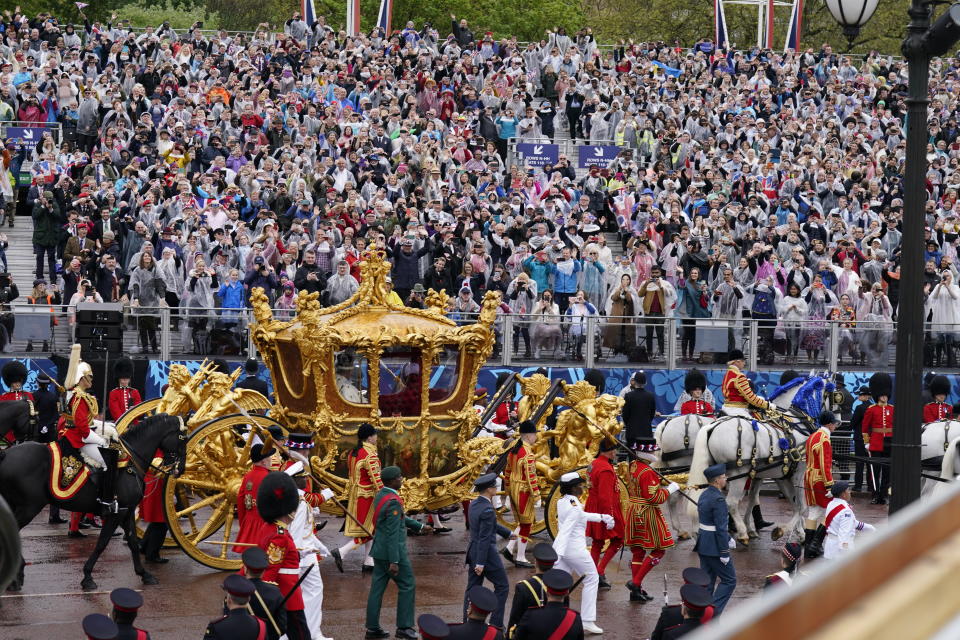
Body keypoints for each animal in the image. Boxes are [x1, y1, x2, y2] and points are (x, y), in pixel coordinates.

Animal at [0, 416, 186, 592]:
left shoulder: (127, 511)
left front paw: (144, 574)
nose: (181, 469)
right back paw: (16, 574)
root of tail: (6, 454)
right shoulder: (117, 513)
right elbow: (102, 543)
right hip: (29, 507)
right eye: (183, 437)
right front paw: (88, 576)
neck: (131, 463)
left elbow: (132, 542)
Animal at [688, 376, 836, 544]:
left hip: (715, 472)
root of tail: (712, 427)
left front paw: (799, 531)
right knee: (731, 502)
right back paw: (741, 532)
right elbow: (801, 506)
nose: (839, 421)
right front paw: (783, 530)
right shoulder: (799, 472)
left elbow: (767, 499)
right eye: (835, 394)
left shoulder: (778, 475)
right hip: (738, 474)